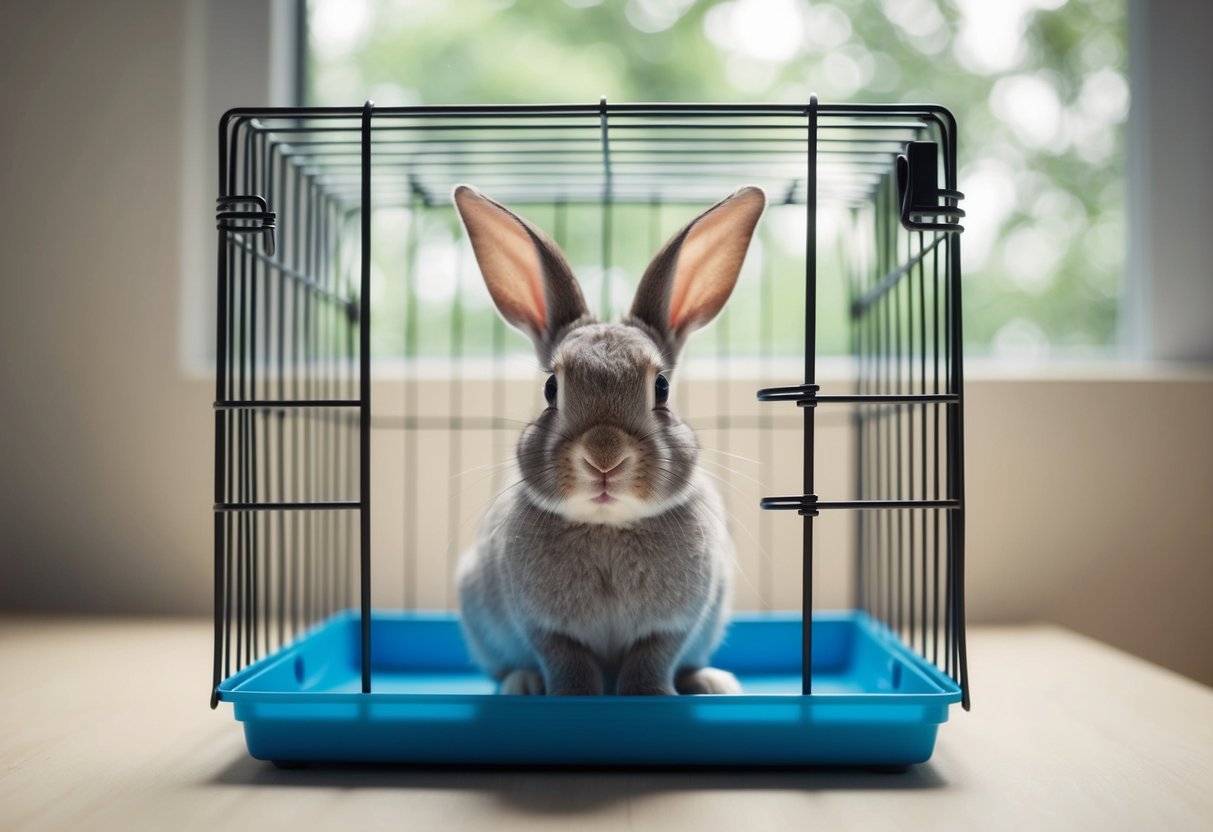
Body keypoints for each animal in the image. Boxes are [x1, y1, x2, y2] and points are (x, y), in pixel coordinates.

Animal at [452, 183, 766, 696]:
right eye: (551, 389)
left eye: (662, 388)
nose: (604, 456)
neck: (607, 526)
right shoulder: (545, 629)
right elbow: (568, 662)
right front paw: (574, 696)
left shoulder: (672, 628)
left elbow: (651, 660)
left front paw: (650, 694)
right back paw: (522, 682)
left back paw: (711, 682)